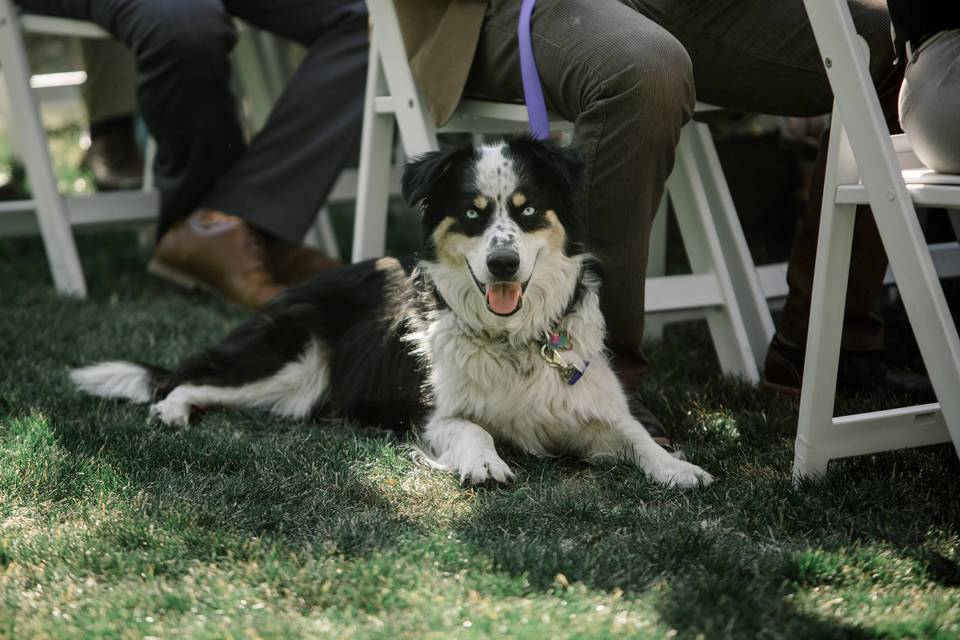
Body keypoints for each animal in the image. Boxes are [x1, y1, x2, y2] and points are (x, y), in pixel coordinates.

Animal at [73, 138, 712, 488]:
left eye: (527, 210)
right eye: (473, 213)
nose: (503, 264)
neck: (511, 339)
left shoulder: (594, 406)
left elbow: (636, 434)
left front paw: (677, 468)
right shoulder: (433, 414)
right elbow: (476, 428)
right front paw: (485, 465)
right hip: (287, 364)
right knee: (186, 379)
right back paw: (171, 411)